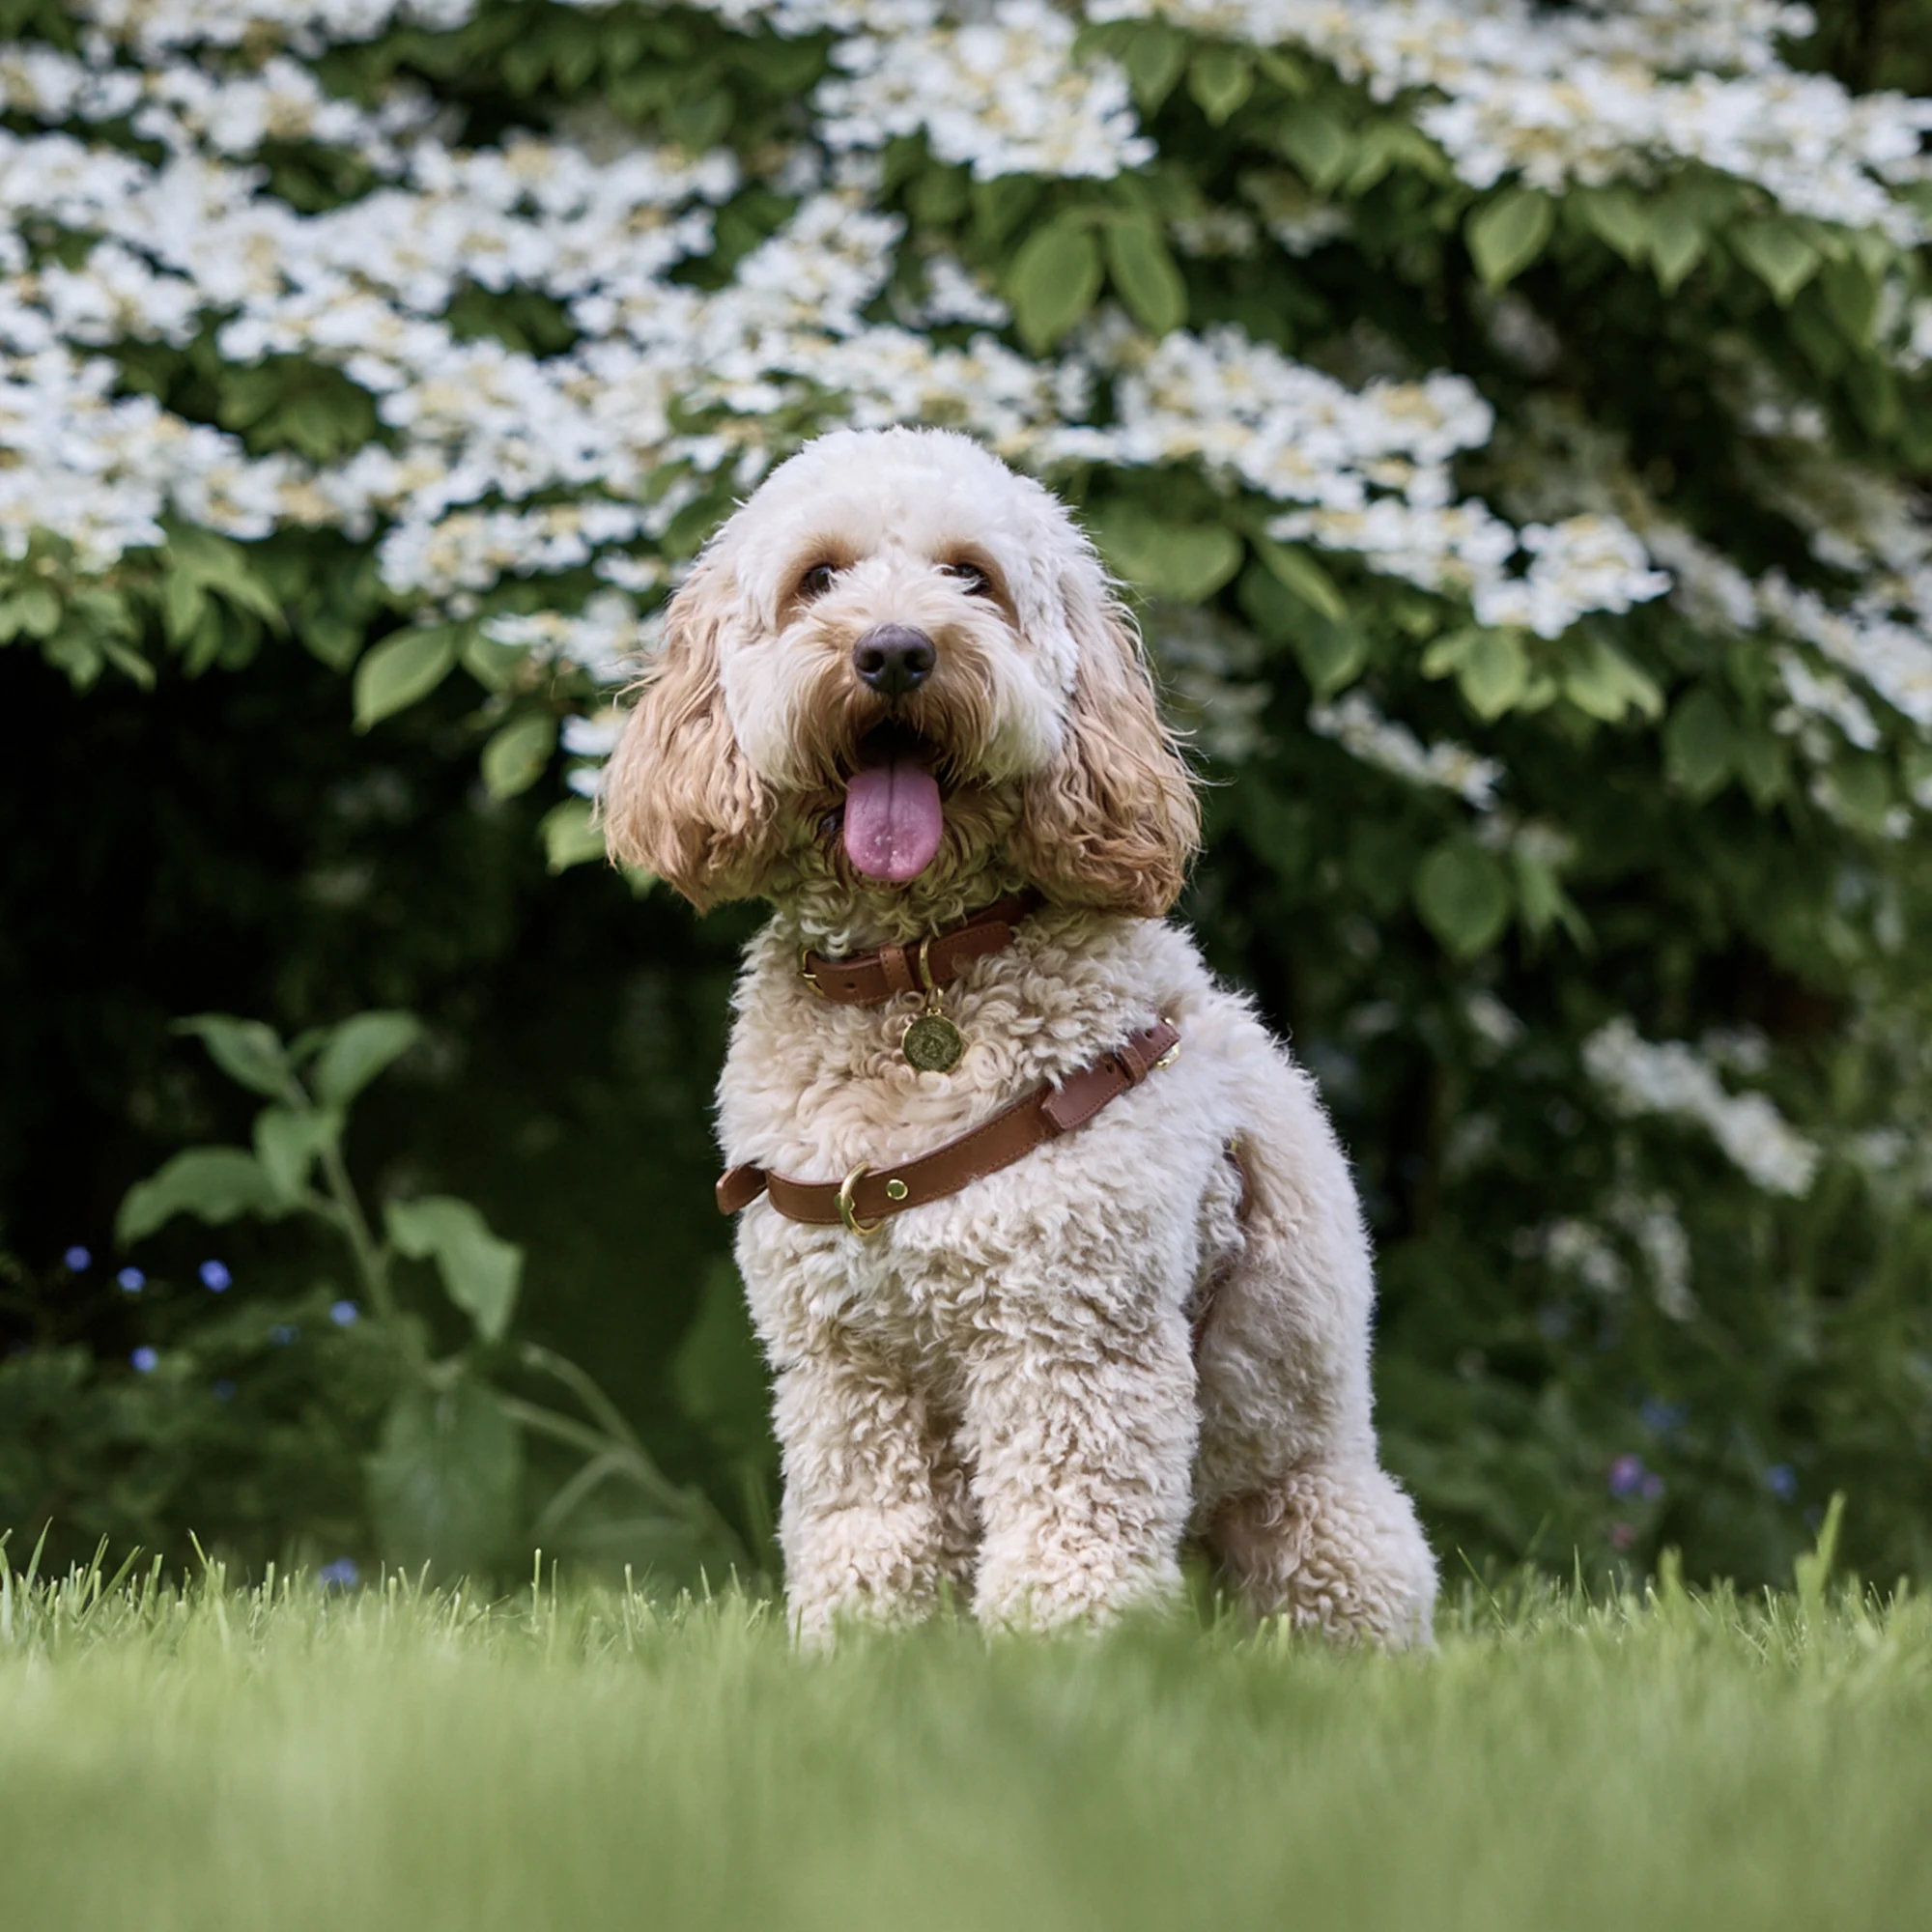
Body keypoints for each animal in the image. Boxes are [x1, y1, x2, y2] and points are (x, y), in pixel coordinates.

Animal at [603, 427, 1437, 1646]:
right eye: (818, 577)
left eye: (971, 577)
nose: (894, 651)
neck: (915, 975)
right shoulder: (845, 1361)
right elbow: (870, 1525)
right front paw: (863, 1649)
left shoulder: (1071, 1332)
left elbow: (1067, 1517)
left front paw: (1060, 1654)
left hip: (1321, 1519)